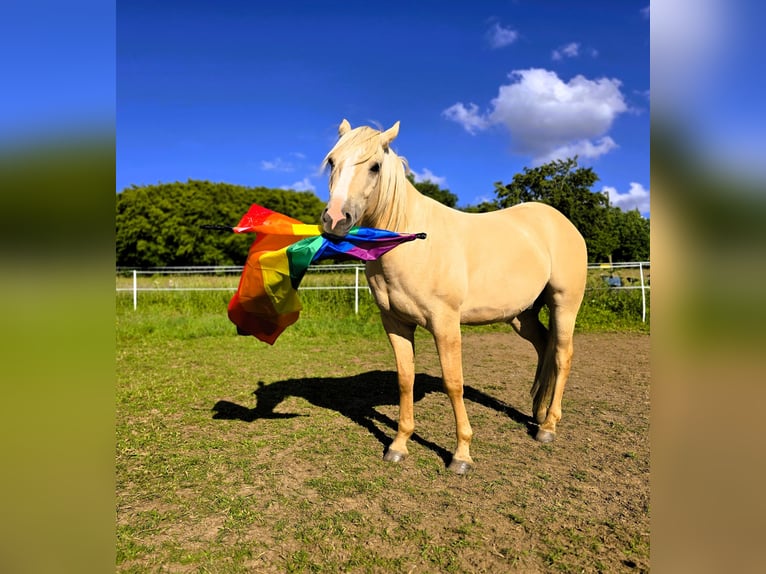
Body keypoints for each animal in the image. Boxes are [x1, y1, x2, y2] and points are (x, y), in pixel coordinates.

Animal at [320, 119, 587, 474]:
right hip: (522, 315)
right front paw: (399, 445)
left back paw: (548, 426)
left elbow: (453, 382)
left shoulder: (445, 324)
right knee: (544, 346)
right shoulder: (395, 323)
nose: (335, 219)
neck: (412, 242)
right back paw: (538, 412)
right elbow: (405, 380)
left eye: (375, 166)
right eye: (332, 162)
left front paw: (461, 455)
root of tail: (562, 223)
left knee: (562, 355)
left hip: (564, 304)